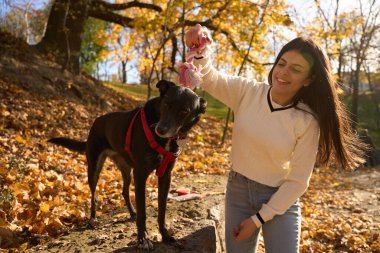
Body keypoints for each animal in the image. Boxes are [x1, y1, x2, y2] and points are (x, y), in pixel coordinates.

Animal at [49, 80, 208, 250]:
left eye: (184, 111)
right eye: (166, 104)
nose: (160, 129)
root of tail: (96, 121)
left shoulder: (165, 176)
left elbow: (162, 211)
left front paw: (166, 236)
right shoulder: (141, 174)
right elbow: (143, 212)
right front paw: (143, 239)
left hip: (127, 170)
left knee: (124, 191)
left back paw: (132, 213)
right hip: (94, 167)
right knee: (94, 195)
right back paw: (92, 219)